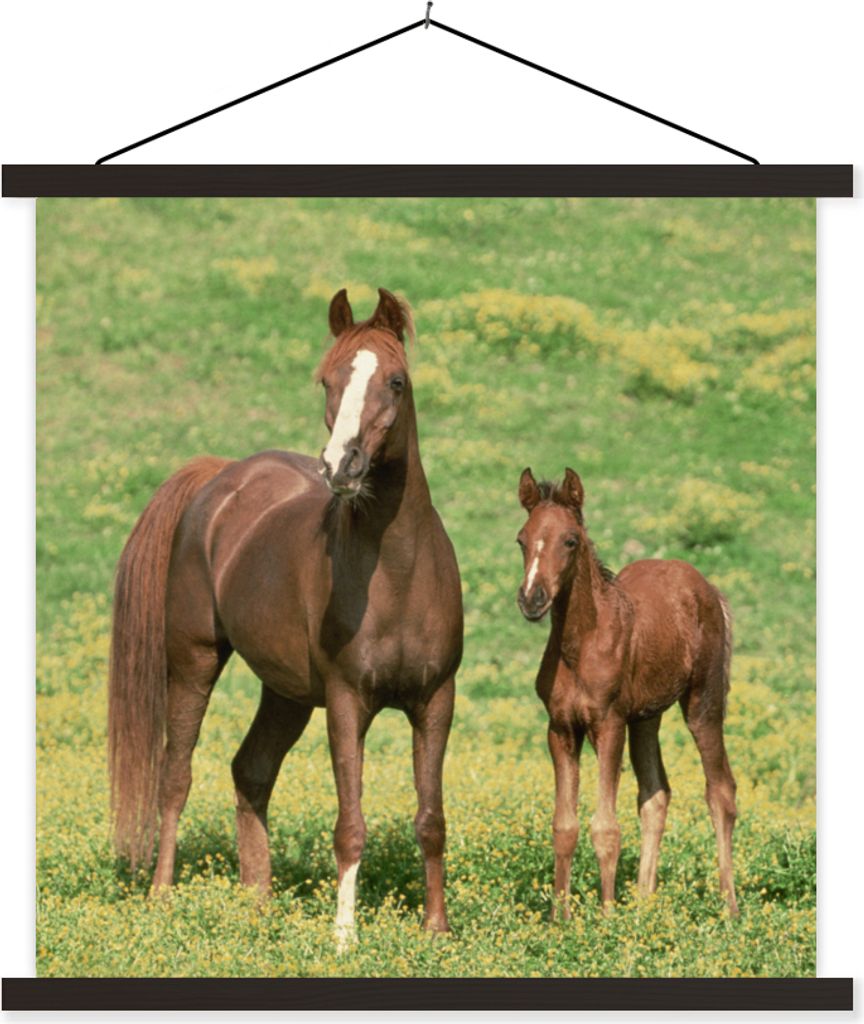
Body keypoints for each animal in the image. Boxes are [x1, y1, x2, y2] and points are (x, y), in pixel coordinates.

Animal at [108, 288, 464, 946]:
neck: (398, 575)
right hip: (193, 660)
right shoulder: (348, 702)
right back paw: (162, 898)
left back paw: (258, 905)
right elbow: (351, 823)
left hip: (287, 692)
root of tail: (221, 476)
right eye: (327, 379)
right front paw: (345, 937)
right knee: (176, 776)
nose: (341, 466)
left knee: (251, 771)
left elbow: (431, 818)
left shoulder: (435, 701)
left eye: (396, 381)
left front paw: (436, 930)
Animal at [516, 467, 738, 918]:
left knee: (721, 791)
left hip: (702, 702)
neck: (580, 646)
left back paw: (730, 909)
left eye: (571, 540)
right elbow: (564, 826)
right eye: (522, 539)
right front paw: (560, 919)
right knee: (655, 795)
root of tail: (708, 588)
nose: (532, 599)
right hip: (646, 717)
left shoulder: (608, 724)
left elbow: (605, 827)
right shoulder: (560, 728)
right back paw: (643, 907)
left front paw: (606, 918)